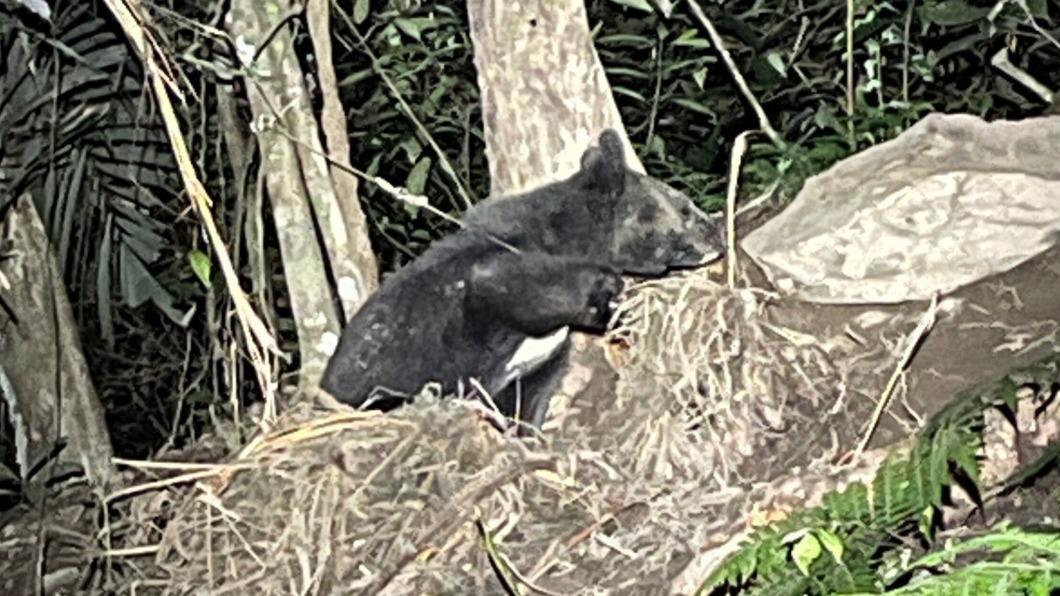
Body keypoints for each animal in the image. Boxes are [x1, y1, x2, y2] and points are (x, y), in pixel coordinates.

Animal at [320, 129, 725, 432]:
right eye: (684, 208)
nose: (719, 235)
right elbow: (500, 282)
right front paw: (604, 295)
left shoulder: (532, 370)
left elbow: (528, 403)